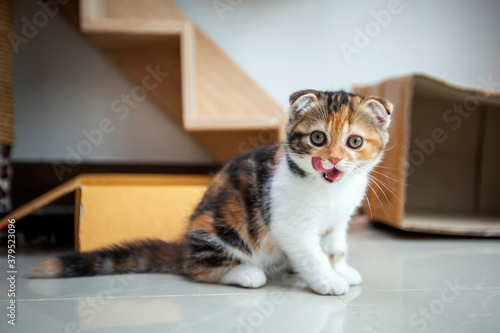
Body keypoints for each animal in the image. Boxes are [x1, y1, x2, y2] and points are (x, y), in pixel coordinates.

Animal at [31, 89, 392, 294]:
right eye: (318, 138)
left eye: (354, 142)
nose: (333, 160)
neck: (330, 190)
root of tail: (184, 245)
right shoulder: (290, 223)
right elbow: (311, 254)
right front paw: (328, 281)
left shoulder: (337, 221)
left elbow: (335, 247)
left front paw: (341, 269)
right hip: (222, 226)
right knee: (198, 267)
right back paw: (245, 273)